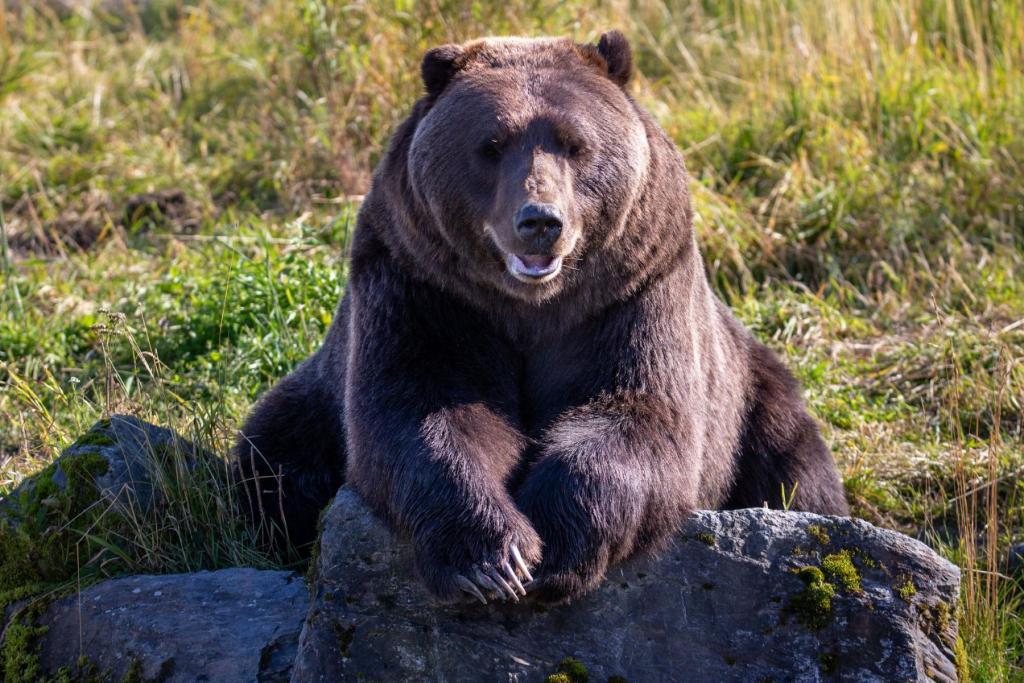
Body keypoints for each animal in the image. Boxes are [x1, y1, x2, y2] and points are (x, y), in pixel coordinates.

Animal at [234, 31, 849, 604]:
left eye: (575, 144)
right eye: (492, 144)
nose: (540, 221)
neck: (532, 306)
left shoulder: (631, 292)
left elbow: (641, 413)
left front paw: (555, 546)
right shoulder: (424, 288)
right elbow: (419, 408)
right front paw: (492, 559)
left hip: (751, 393)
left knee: (796, 471)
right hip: (313, 397)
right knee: (271, 458)